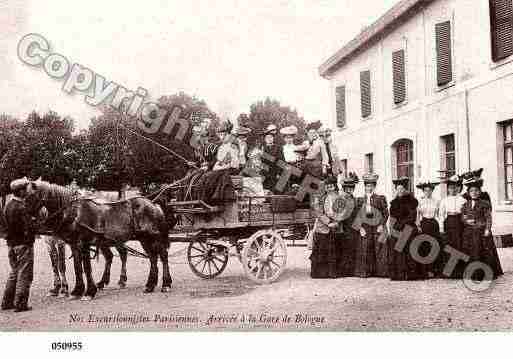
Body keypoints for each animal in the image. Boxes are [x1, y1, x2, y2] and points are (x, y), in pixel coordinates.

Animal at [25, 180, 174, 300]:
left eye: (29, 196)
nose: (28, 221)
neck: (74, 213)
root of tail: (153, 204)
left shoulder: (83, 243)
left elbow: (86, 268)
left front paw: (89, 292)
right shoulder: (74, 245)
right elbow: (77, 267)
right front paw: (76, 291)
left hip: (153, 237)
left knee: (163, 256)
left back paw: (165, 284)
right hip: (143, 239)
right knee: (152, 258)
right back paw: (149, 285)